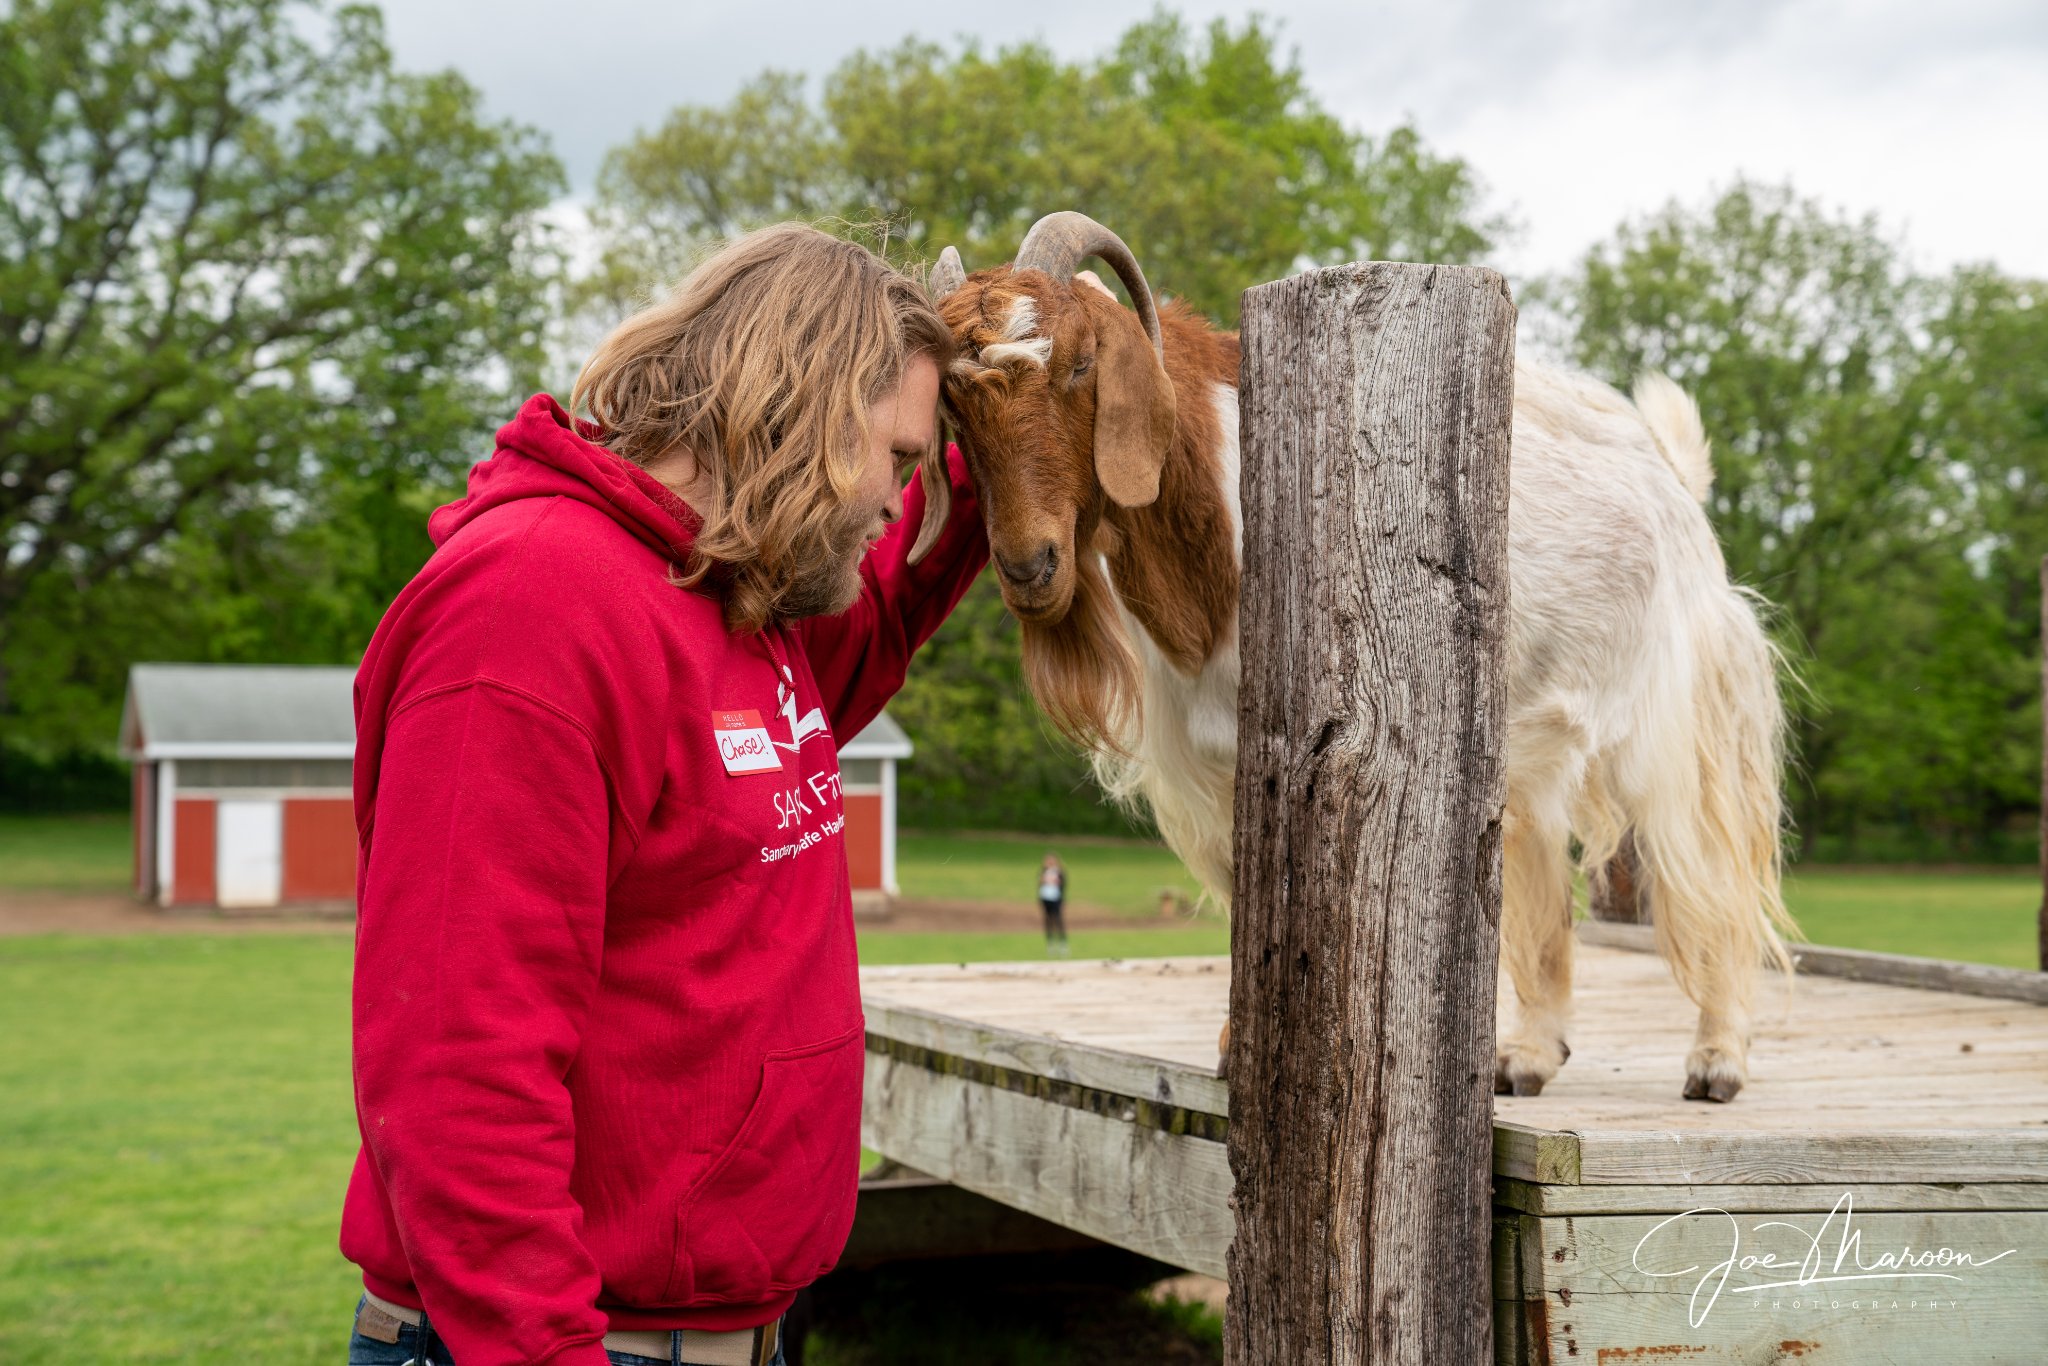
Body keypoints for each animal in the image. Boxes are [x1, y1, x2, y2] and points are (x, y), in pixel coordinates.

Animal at [913, 216, 1794, 1114]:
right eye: (956, 403)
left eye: (1081, 365)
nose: (1030, 568)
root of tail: (1672, 473)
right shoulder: (1207, 759)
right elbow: (1245, 891)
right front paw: (1234, 1045)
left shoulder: (1329, 742)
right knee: (1546, 882)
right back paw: (1527, 1057)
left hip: (1680, 715)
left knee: (1708, 871)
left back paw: (1717, 1060)